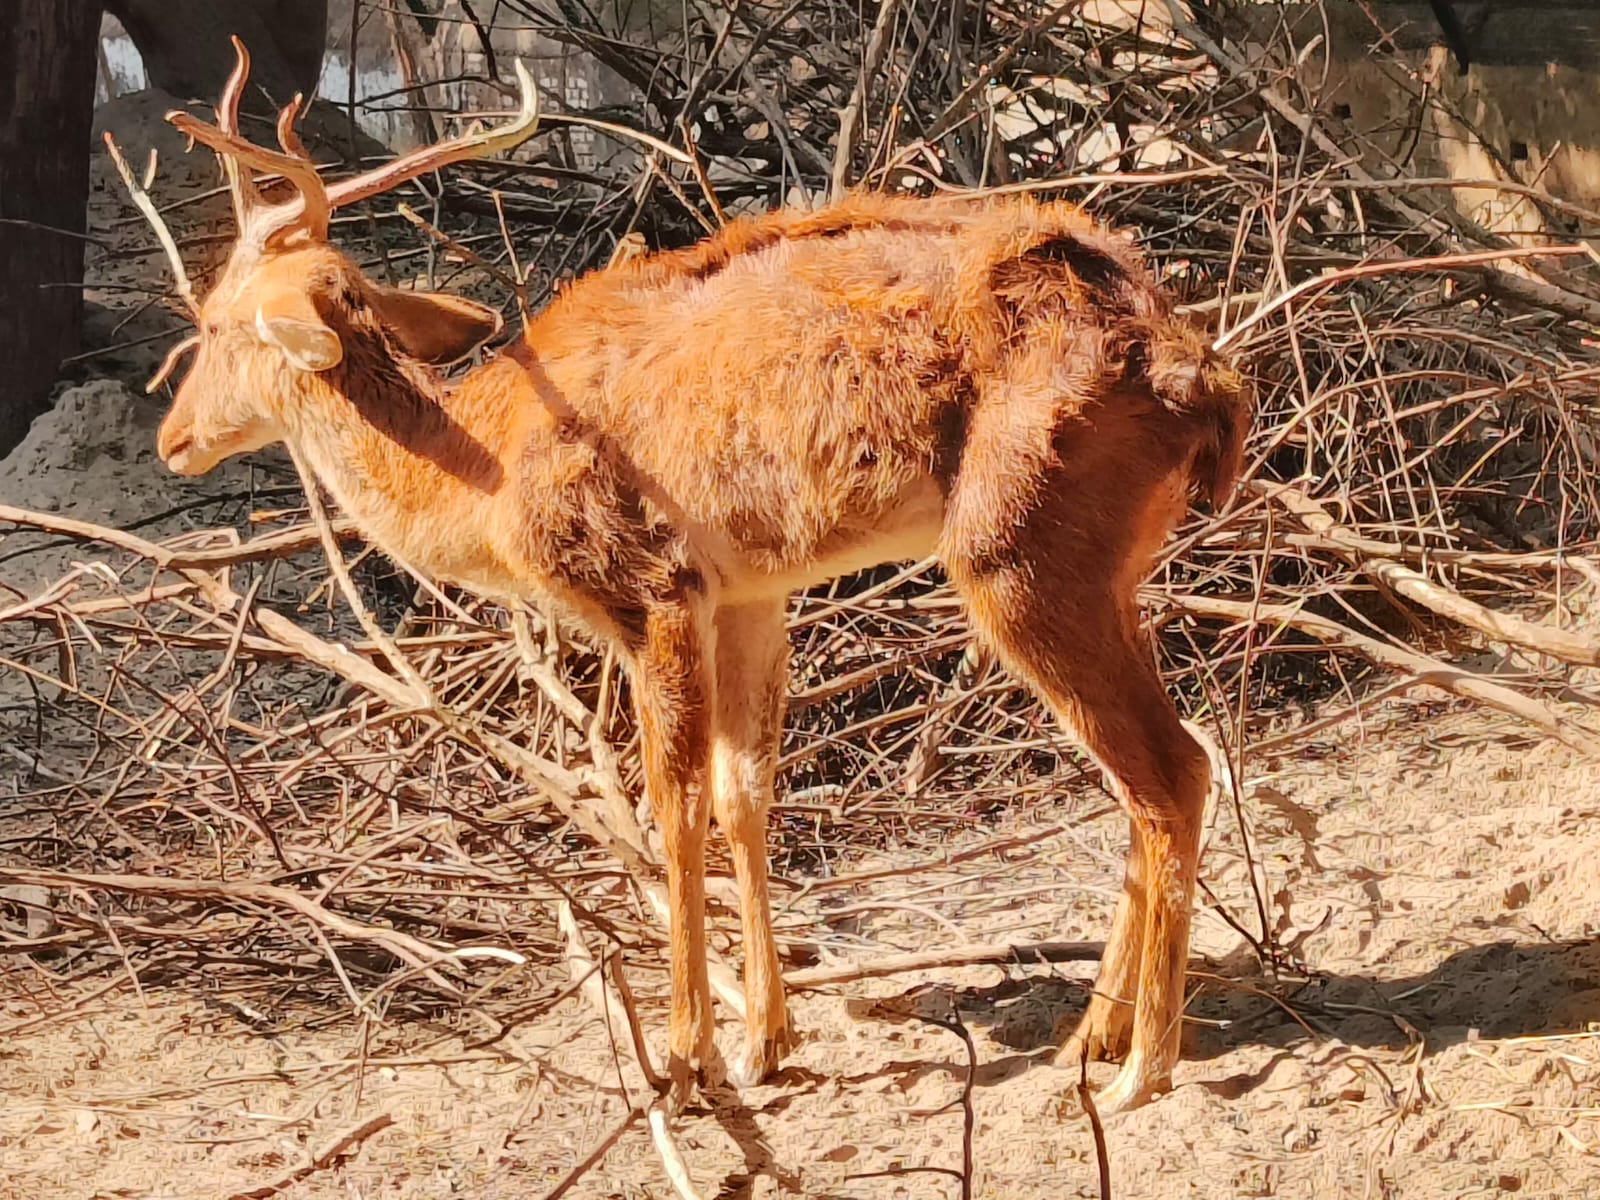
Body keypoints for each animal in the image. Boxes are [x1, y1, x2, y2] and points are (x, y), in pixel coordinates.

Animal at [118, 37, 1254, 1113]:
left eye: (216, 321)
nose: (170, 438)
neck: (487, 469)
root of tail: (1203, 377)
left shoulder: (651, 587)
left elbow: (673, 802)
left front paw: (686, 1058)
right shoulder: (751, 590)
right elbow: (746, 790)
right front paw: (765, 1041)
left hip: (1017, 555)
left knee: (1170, 771)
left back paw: (1141, 1069)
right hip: (1109, 568)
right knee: (1157, 768)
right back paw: (1089, 1037)